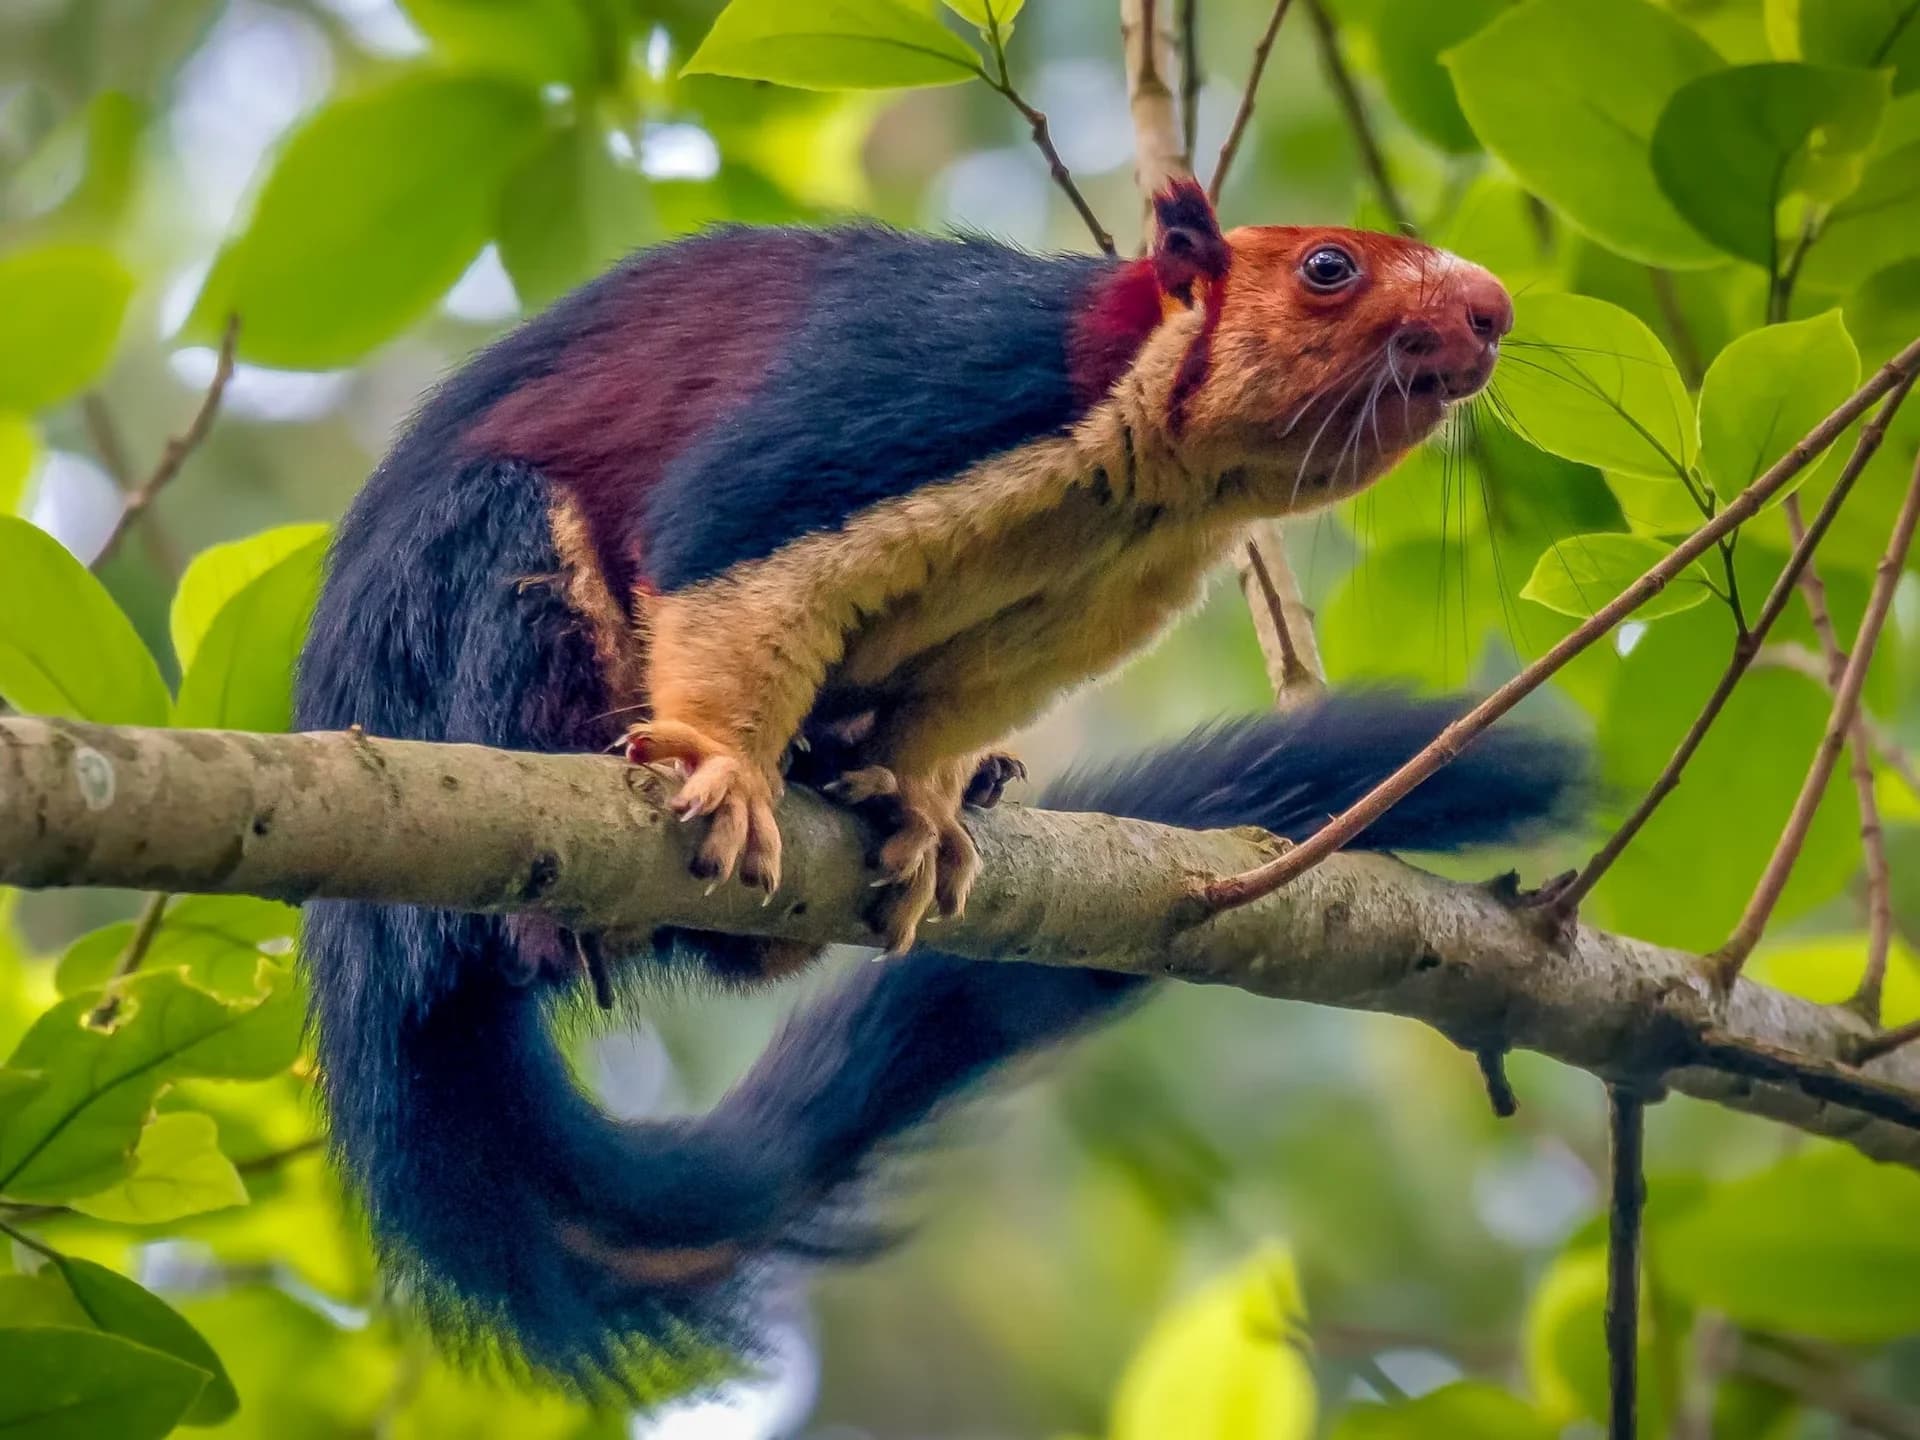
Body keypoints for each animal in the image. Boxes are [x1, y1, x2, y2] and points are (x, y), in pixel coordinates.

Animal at [294, 181, 1577, 1390]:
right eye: (1329, 267)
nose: (1493, 311)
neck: (1156, 481)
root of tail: (360, 963)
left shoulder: (1090, 603)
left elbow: (952, 706)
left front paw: (920, 804)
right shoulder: (934, 390)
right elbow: (727, 543)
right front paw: (726, 768)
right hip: (456, 630)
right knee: (504, 550)